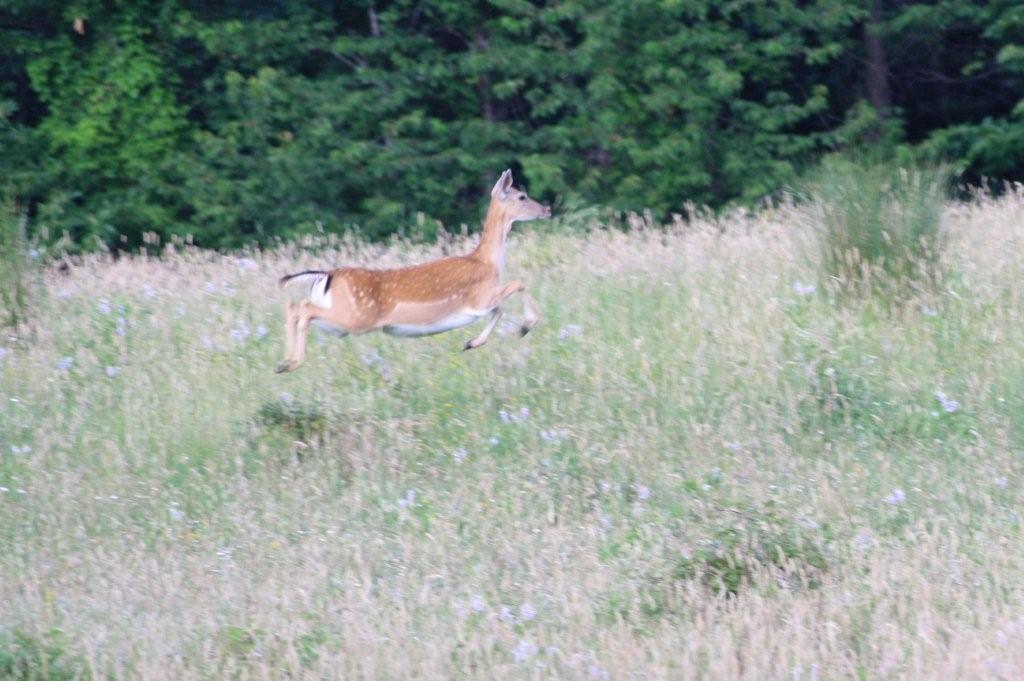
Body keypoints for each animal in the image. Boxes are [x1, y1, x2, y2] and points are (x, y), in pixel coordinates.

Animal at [276, 168, 552, 372]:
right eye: (522, 197)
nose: (547, 209)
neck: (486, 262)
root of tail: (329, 275)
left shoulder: (481, 303)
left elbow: (500, 310)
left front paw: (472, 343)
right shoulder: (479, 296)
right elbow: (517, 284)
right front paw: (526, 326)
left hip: (338, 322)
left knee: (295, 306)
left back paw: (284, 363)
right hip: (355, 317)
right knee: (303, 309)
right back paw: (292, 363)